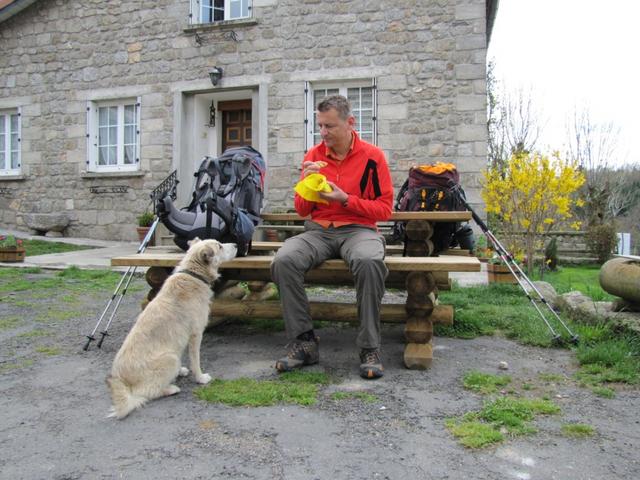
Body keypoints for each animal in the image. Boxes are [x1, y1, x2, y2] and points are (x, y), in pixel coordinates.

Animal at [107, 238, 238, 418]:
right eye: (219, 246)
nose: (237, 245)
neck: (194, 274)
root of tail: (122, 382)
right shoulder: (196, 334)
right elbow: (195, 360)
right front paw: (200, 378)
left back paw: (178, 372)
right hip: (170, 358)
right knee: (147, 392)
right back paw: (171, 388)